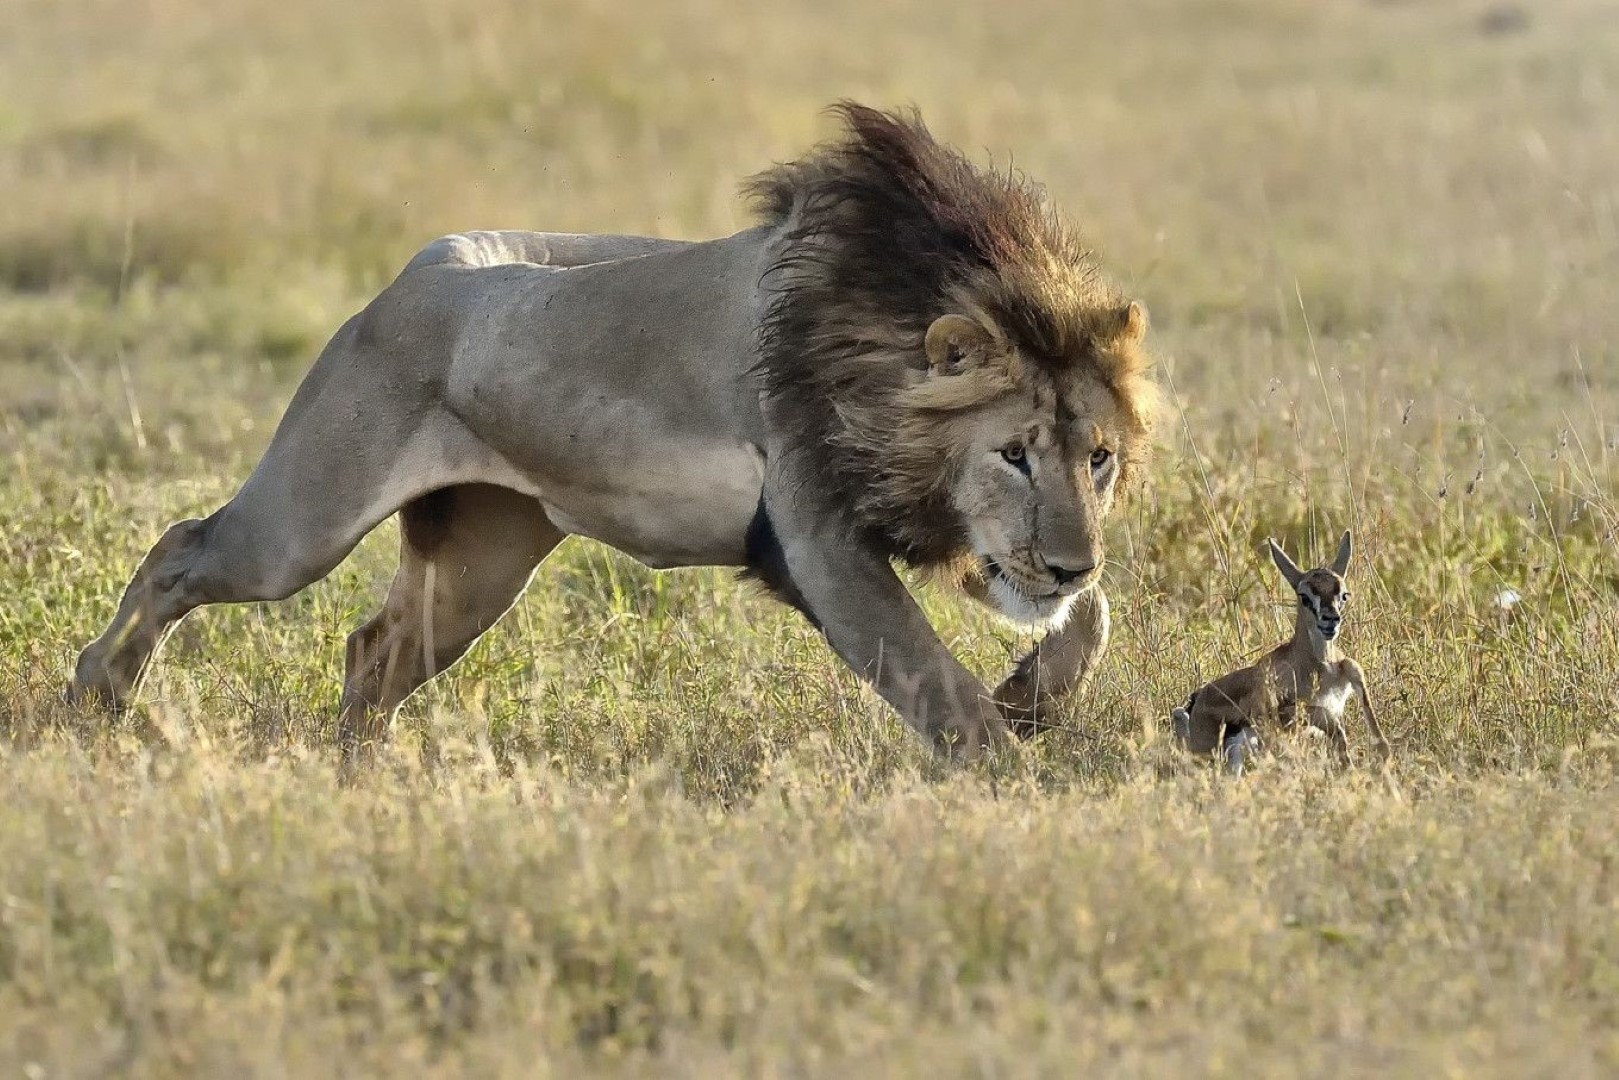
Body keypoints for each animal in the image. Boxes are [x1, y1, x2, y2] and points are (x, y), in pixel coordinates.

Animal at [69, 103, 1165, 761]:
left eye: (1098, 459)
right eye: (1010, 453)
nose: (1067, 560)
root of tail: (428, 267)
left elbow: (1092, 617)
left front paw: (1032, 696)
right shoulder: (816, 536)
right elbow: (935, 680)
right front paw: (1016, 776)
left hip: (478, 561)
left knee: (373, 649)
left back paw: (361, 772)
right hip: (302, 526)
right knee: (181, 551)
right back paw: (97, 697)